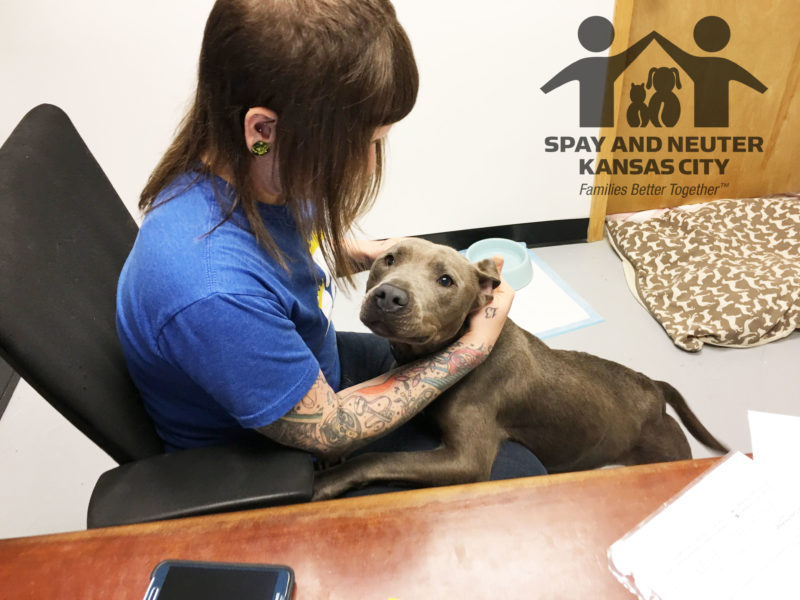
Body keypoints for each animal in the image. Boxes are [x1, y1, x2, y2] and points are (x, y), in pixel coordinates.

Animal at [314, 237, 732, 500]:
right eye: (389, 259)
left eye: (446, 280)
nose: (389, 296)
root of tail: (654, 387)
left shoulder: (464, 460)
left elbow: (380, 457)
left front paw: (328, 480)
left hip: (665, 450)